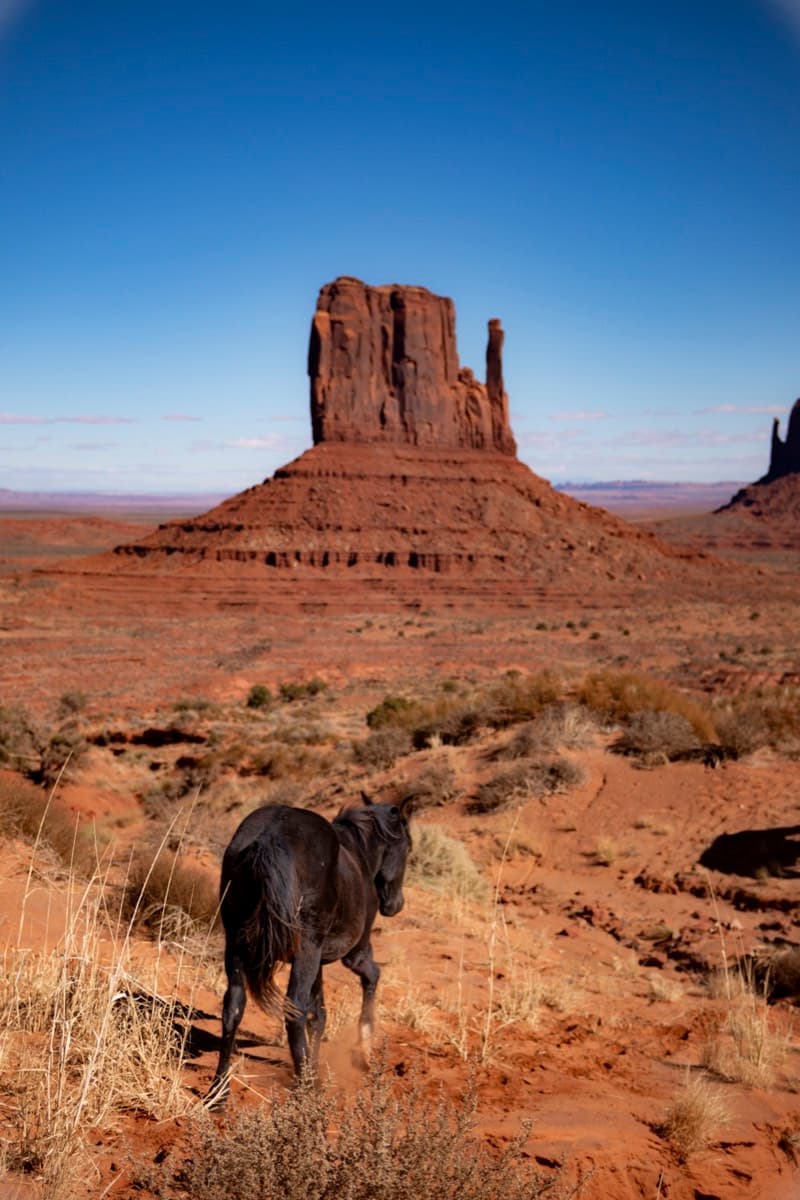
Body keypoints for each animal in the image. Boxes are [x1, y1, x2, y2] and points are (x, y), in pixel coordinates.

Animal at [207, 794, 413, 1105]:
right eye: (408, 847)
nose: (395, 905)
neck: (360, 855)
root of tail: (269, 838)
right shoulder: (354, 953)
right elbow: (371, 977)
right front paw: (363, 1050)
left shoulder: (318, 963)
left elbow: (319, 1016)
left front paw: (313, 1064)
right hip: (307, 951)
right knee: (294, 1010)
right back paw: (309, 1088)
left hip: (236, 946)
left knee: (234, 1006)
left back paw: (218, 1093)